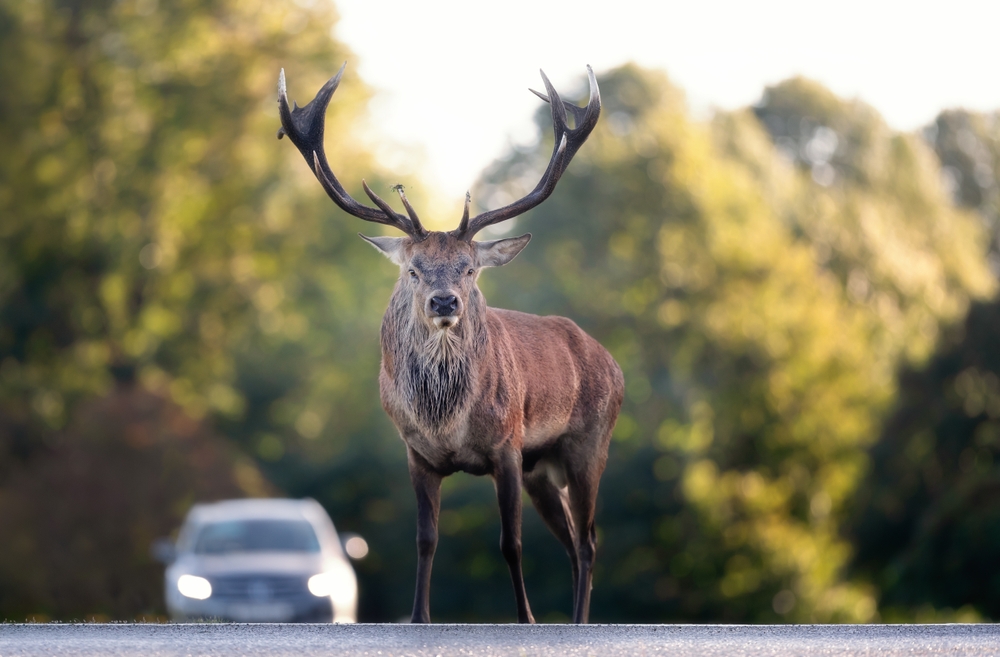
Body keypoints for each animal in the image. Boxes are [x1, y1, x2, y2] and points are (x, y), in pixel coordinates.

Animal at [278, 63, 623, 624]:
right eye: (414, 270)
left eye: (469, 269)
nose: (445, 302)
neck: (447, 419)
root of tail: (611, 361)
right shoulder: (416, 453)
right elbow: (426, 539)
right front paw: (419, 617)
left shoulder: (508, 445)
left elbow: (510, 543)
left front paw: (526, 620)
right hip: (543, 468)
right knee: (573, 542)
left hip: (590, 441)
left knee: (590, 540)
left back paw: (576, 622)